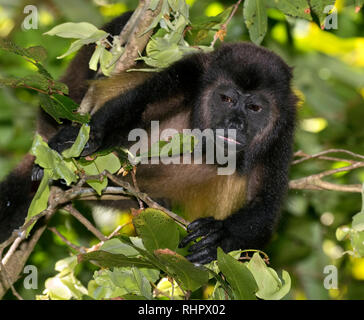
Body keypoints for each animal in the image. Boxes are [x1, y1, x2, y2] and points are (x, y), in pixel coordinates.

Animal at [0, 11, 296, 264]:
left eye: (254, 108)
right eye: (227, 99)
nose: (235, 123)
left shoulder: (283, 132)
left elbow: (265, 206)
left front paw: (219, 236)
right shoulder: (192, 72)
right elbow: (138, 106)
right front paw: (91, 137)